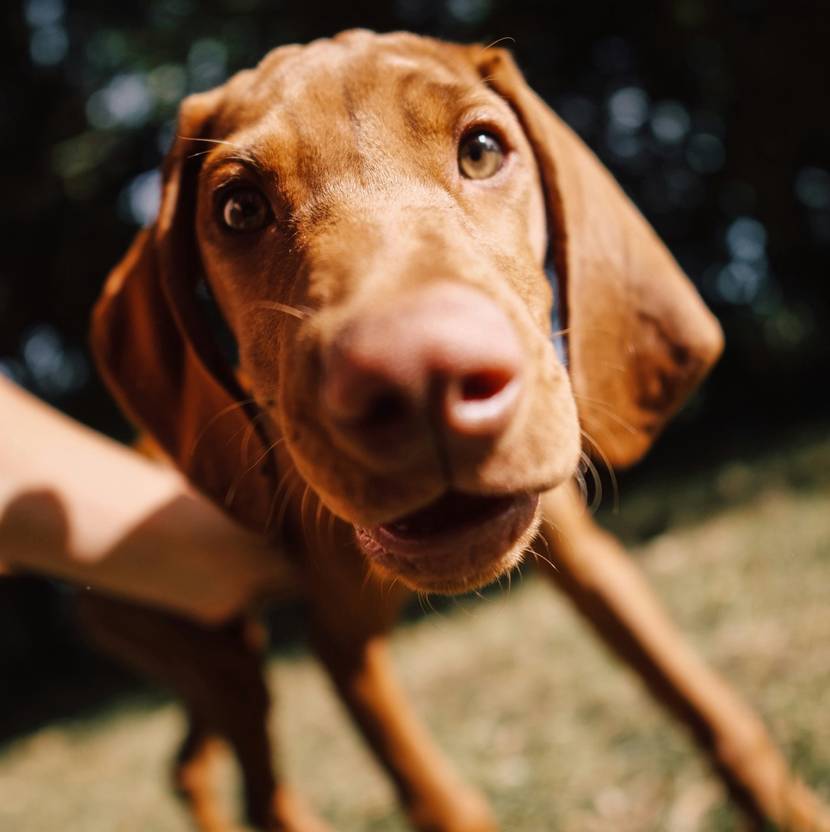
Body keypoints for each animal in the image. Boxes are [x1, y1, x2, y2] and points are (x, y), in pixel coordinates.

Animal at [79, 27, 830, 832]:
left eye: (481, 149)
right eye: (239, 209)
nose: (421, 380)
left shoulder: (584, 554)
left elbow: (709, 708)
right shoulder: (343, 642)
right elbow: (439, 799)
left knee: (192, 762)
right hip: (211, 655)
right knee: (256, 788)